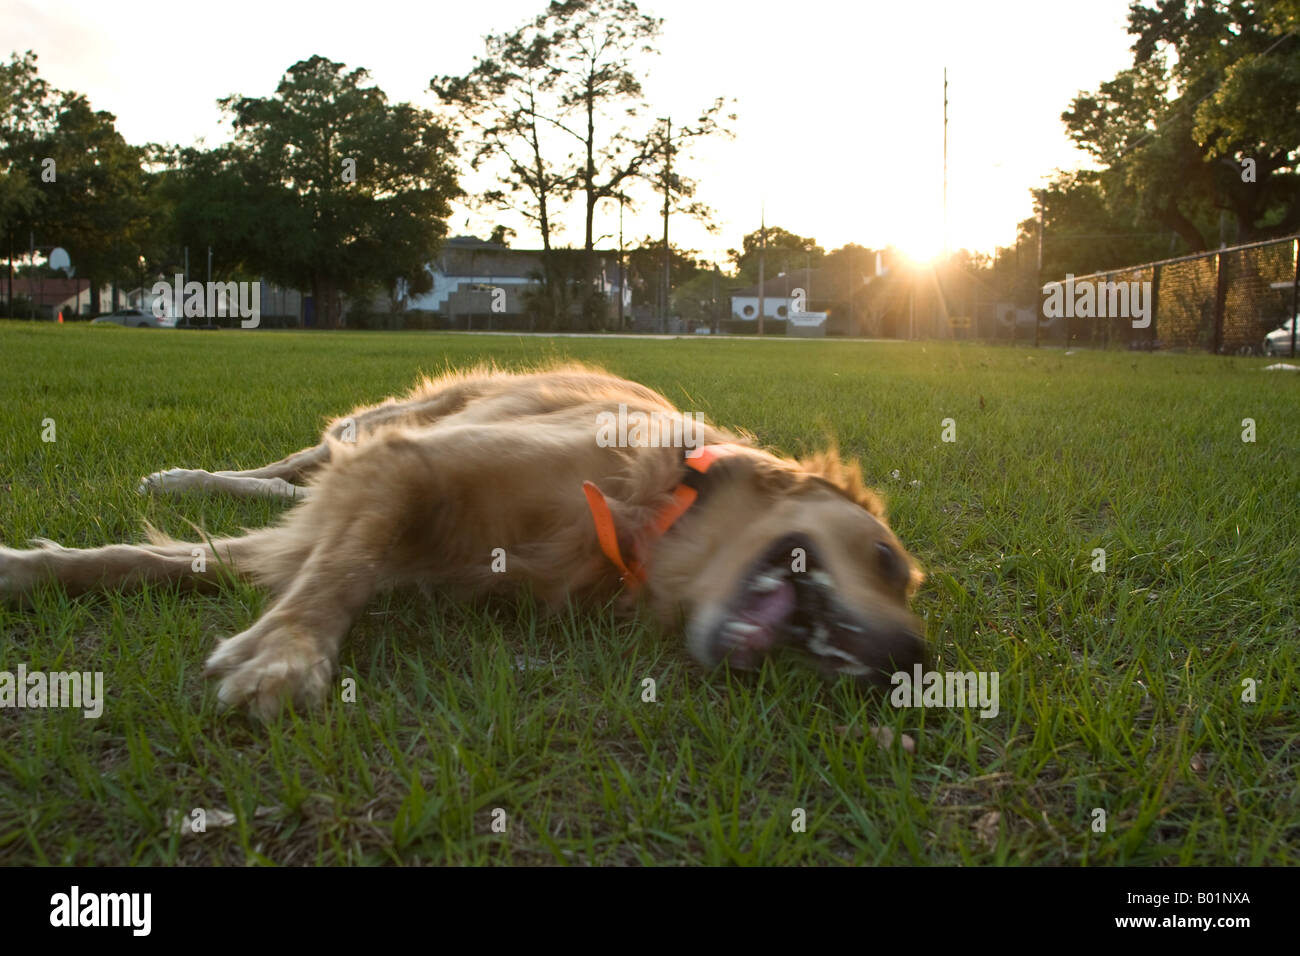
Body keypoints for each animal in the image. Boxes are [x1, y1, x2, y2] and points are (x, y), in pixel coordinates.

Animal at [0, 364, 925, 717]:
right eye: (887, 562)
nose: (913, 658)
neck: (655, 515)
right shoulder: (410, 464)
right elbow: (338, 573)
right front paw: (291, 653)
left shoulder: (357, 518)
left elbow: (145, 560)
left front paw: (24, 568)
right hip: (393, 419)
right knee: (300, 459)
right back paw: (186, 476)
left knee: (297, 484)